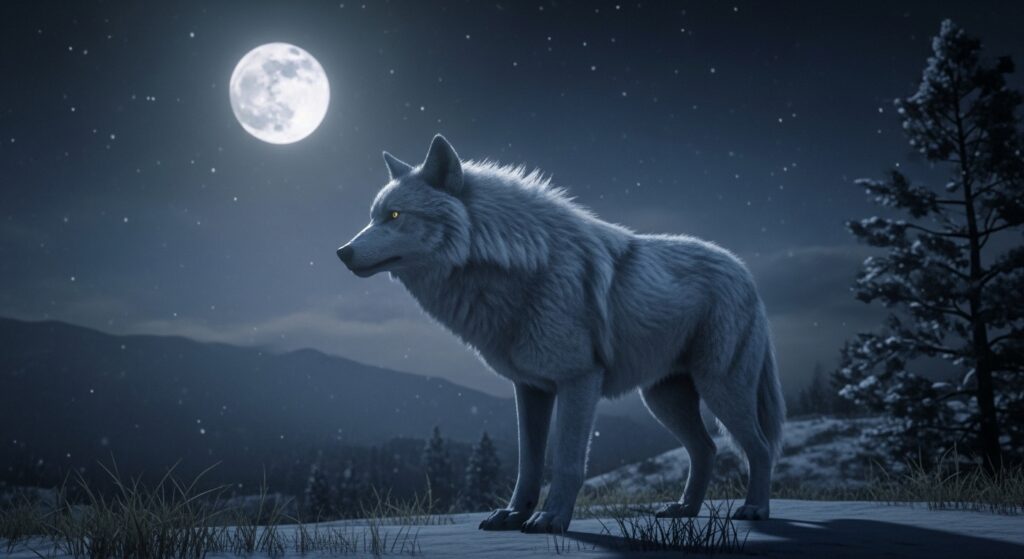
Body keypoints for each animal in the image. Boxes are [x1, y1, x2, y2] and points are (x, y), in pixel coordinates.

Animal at [337, 135, 785, 532]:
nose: (342, 252)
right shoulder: (531, 388)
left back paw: (755, 509)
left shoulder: (578, 379)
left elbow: (568, 460)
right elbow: (529, 464)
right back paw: (685, 510)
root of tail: (745, 272)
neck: (518, 263)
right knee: (706, 449)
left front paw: (551, 519)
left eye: (395, 216)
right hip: (663, 398)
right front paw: (513, 515)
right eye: (373, 216)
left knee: (760, 446)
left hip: (720, 387)